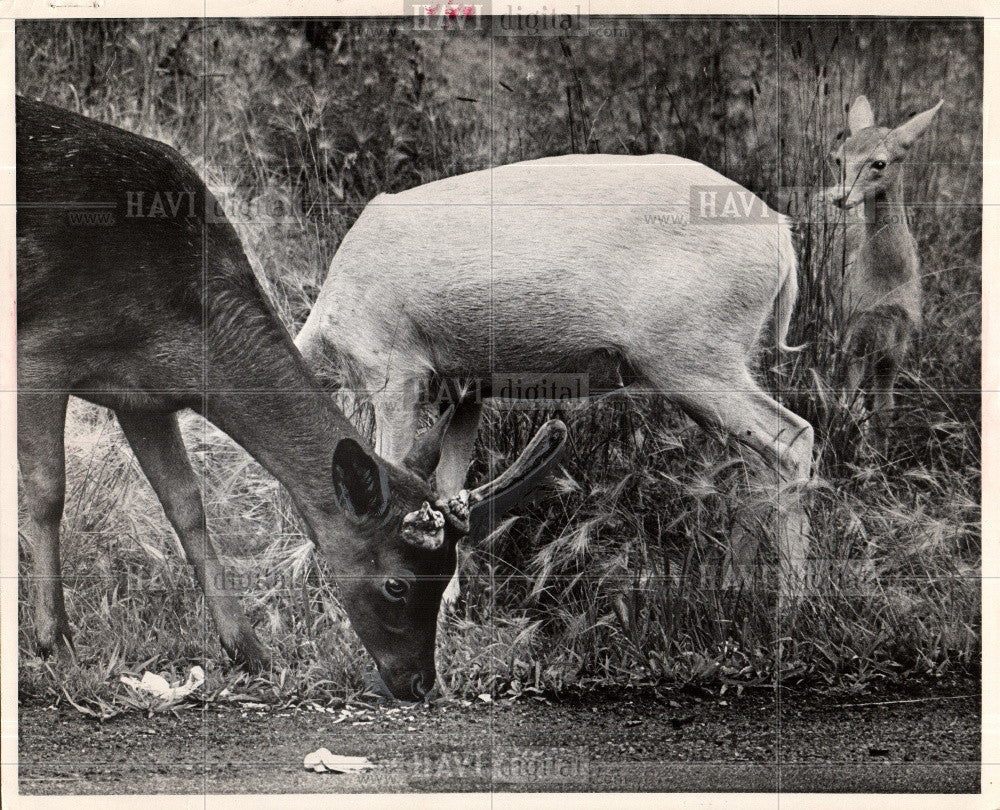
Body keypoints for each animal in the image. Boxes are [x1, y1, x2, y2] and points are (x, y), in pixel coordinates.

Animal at [15, 94, 568, 700]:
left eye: (446, 573)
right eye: (397, 584)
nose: (421, 683)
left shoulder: (144, 395)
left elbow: (187, 505)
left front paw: (249, 648)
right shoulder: (40, 351)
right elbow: (47, 492)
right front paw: (54, 641)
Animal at [292, 153, 816, 608]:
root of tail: (783, 240)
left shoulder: (394, 370)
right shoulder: (465, 388)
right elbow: (446, 483)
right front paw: (450, 598)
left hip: (693, 357)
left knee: (792, 438)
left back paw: (791, 601)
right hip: (712, 365)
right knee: (753, 463)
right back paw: (734, 586)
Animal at [824, 94, 940, 432]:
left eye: (879, 163)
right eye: (838, 158)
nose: (839, 197)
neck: (886, 283)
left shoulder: (902, 334)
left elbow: (886, 410)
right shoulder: (853, 322)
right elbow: (847, 402)